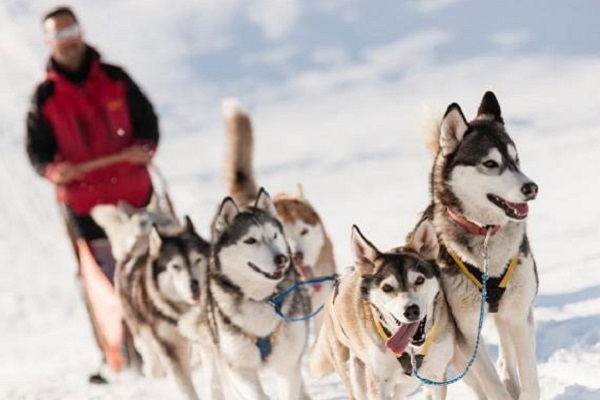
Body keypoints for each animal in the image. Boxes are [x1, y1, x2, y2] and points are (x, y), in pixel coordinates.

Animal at [310, 220, 454, 398]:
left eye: (420, 280)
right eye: (387, 288)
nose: (411, 310)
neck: (411, 351)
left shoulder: (436, 377)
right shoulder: (378, 384)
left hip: (408, 383)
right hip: (353, 373)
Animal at [420, 91, 540, 400]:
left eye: (516, 159)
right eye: (490, 164)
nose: (531, 188)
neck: (486, 236)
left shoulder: (520, 315)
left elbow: (530, 380)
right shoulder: (466, 330)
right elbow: (492, 386)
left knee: (506, 350)